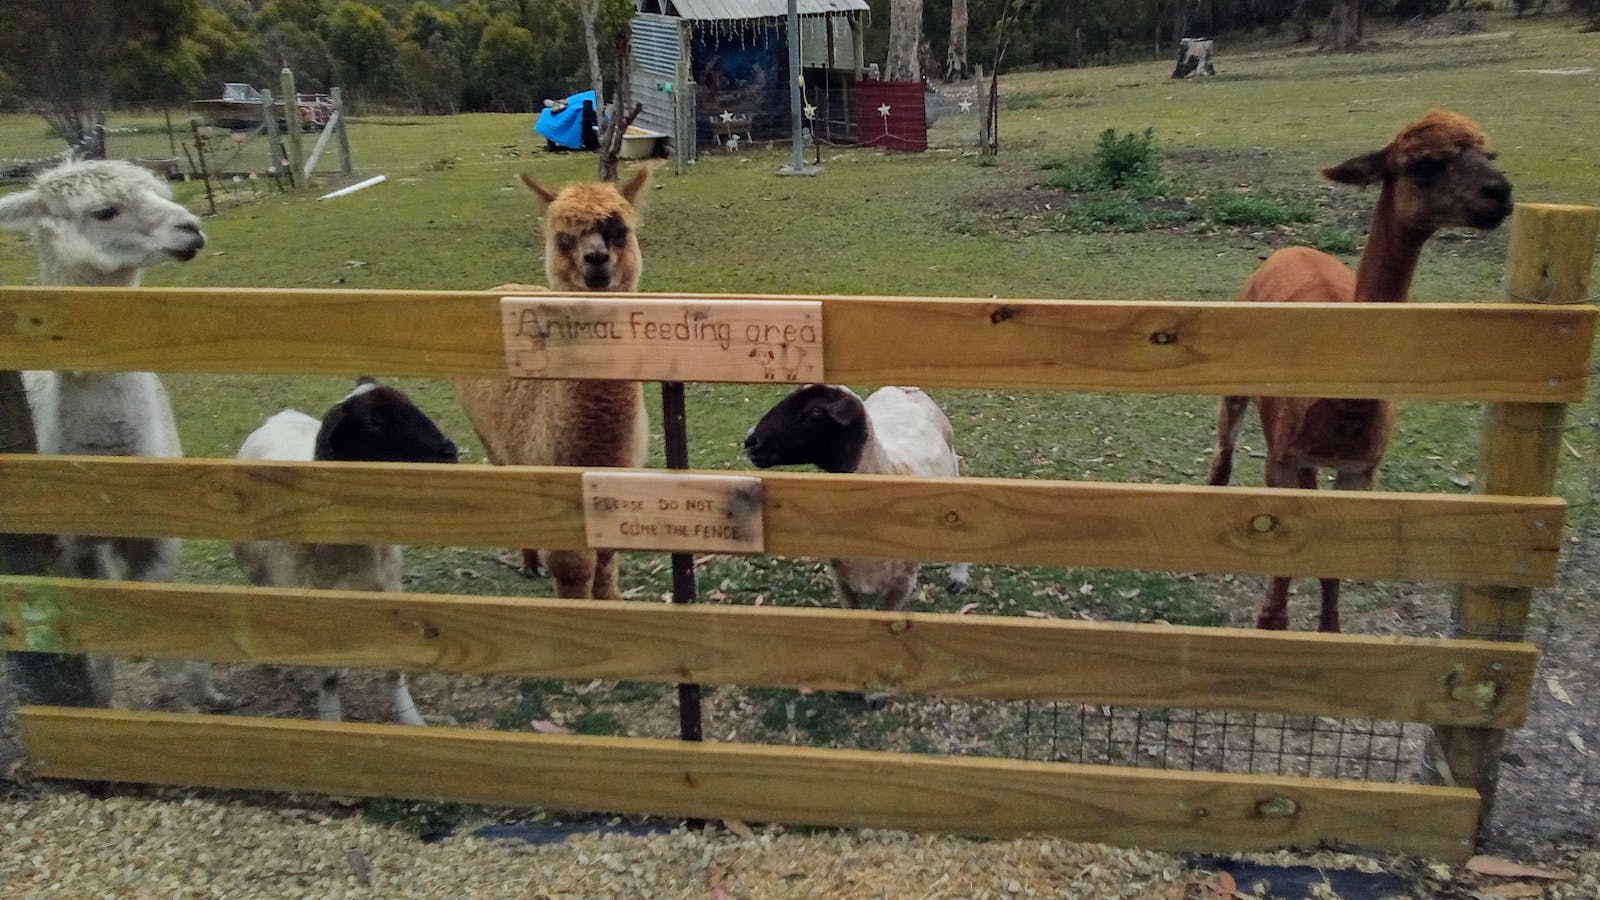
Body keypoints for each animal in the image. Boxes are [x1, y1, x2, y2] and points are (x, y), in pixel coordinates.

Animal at [0, 158, 219, 709]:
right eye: (104, 211)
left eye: (163, 191)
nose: (191, 228)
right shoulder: (71, 550)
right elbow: (98, 645)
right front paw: (103, 702)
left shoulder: (160, 538)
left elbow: (166, 631)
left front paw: (198, 697)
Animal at [234, 378, 459, 725]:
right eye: (371, 424)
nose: (449, 451)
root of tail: (278, 418)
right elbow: (328, 678)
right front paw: (331, 720)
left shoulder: (390, 599)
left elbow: (394, 670)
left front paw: (411, 719)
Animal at [452, 167, 652, 599]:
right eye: (564, 236)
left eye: (620, 231)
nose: (596, 259)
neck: (594, 452)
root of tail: (504, 287)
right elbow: (573, 569)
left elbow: (606, 561)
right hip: (492, 440)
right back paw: (530, 563)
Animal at [743, 384, 972, 611]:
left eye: (816, 411)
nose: (750, 441)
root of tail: (903, 388)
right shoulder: (841, 580)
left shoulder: (902, 585)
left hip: (954, 474)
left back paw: (958, 578)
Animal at [1207, 110, 1513, 633]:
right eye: (1424, 163)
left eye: (1489, 154)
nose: (1501, 193)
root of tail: (1291, 247)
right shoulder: (1282, 458)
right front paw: (1271, 621)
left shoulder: (1360, 470)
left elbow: (1330, 562)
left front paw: (1329, 628)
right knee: (1225, 446)